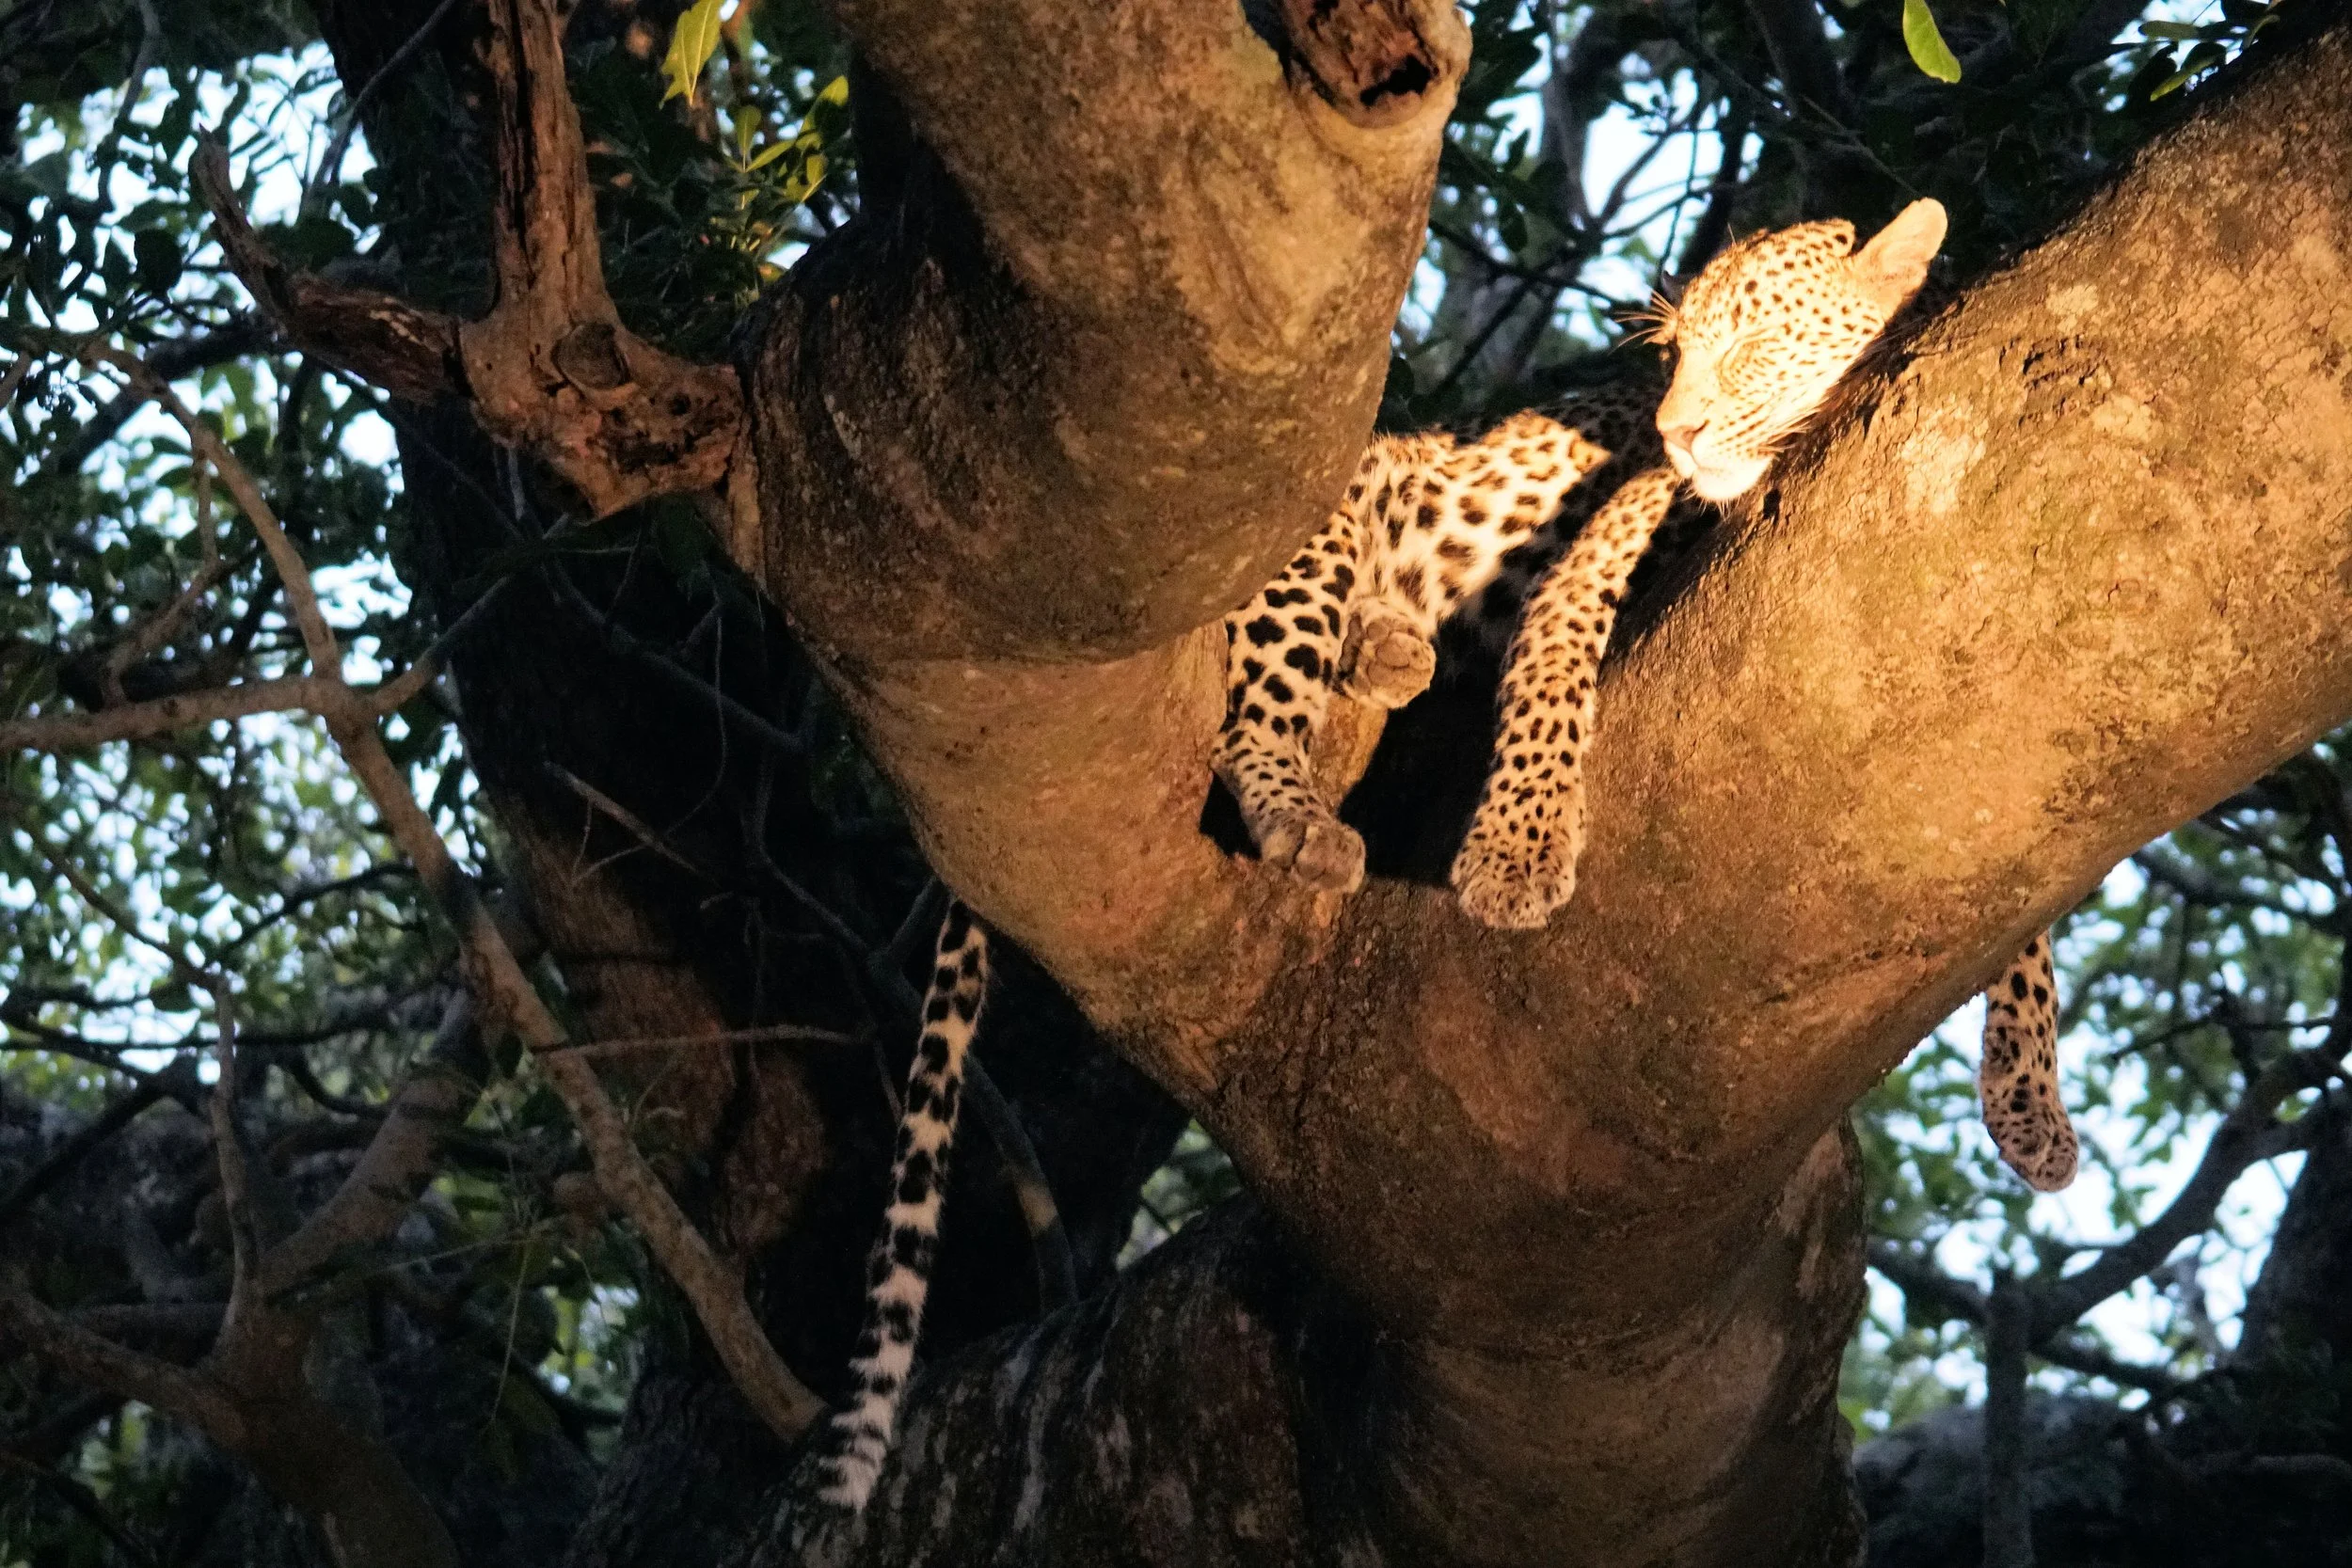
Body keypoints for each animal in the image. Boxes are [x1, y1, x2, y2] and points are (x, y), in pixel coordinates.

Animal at [816, 197, 2075, 1518]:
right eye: (1677, 351)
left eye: (1754, 345)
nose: (1674, 427)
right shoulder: (1593, 560)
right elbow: (1550, 696)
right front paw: (1517, 854)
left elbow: (2027, 909)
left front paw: (2028, 1096)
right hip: (1321, 528)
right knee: (1256, 694)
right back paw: (1304, 799)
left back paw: (1390, 650)